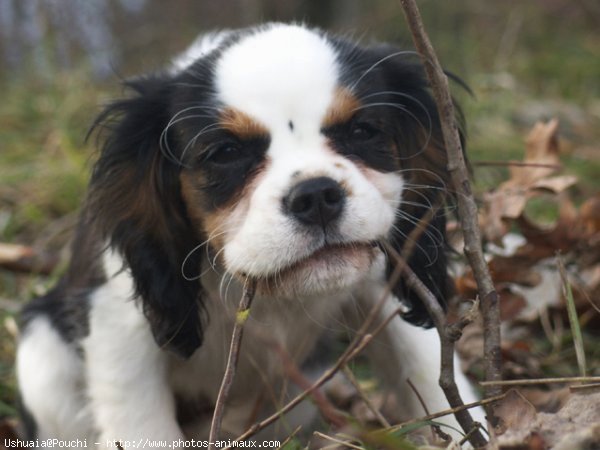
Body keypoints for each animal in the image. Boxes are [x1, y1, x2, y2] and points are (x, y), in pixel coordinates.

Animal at [16, 22, 486, 444]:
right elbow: (142, 424)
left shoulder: (386, 286)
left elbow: (425, 367)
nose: (316, 196)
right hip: (42, 361)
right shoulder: (119, 327)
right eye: (225, 153)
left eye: (362, 131)